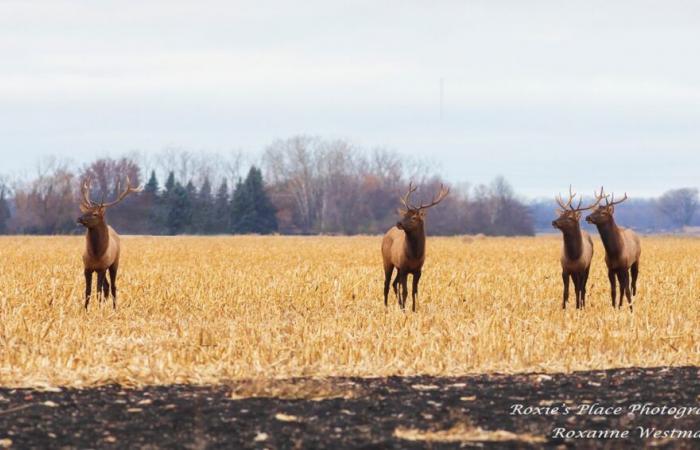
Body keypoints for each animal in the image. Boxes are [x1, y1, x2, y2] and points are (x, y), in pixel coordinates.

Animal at [77, 178, 142, 312]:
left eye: (95, 214)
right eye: (86, 211)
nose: (79, 219)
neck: (96, 253)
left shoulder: (102, 267)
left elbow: (98, 291)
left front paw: (98, 310)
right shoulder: (87, 267)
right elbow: (88, 291)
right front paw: (85, 310)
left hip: (114, 263)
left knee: (112, 286)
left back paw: (114, 308)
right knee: (106, 286)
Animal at [380, 181, 452, 312]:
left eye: (414, 217)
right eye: (405, 215)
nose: (399, 223)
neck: (414, 255)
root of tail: (387, 234)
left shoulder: (418, 270)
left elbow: (414, 291)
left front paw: (413, 309)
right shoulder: (404, 268)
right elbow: (405, 291)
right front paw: (405, 311)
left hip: (398, 267)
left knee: (394, 283)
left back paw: (398, 305)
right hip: (387, 260)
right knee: (386, 283)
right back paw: (386, 307)